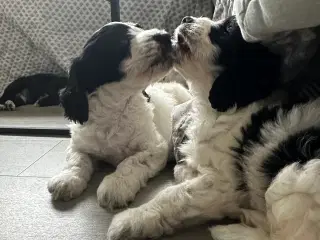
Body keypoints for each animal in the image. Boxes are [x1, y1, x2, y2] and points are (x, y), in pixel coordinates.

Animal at [47, 22, 190, 210]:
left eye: (140, 28)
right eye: (121, 42)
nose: (165, 35)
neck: (116, 109)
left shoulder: (155, 147)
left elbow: (131, 162)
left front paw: (116, 185)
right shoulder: (78, 144)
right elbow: (77, 160)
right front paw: (68, 179)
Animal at [106, 16, 320, 240]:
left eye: (227, 30)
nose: (187, 18)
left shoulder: (222, 183)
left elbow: (174, 195)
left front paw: (130, 220)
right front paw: (185, 170)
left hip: (295, 175)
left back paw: (230, 229)